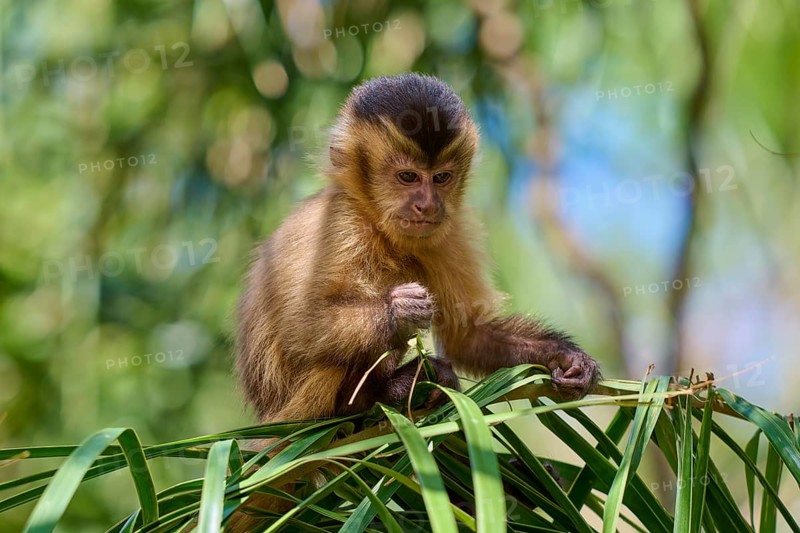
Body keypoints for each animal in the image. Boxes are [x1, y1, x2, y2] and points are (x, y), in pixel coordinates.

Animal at [235, 72, 600, 429]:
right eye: (408, 177)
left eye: (441, 178)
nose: (427, 205)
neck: (376, 223)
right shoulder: (341, 222)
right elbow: (300, 327)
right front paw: (399, 310)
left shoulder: (449, 230)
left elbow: (467, 336)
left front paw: (564, 356)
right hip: (299, 407)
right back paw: (360, 401)